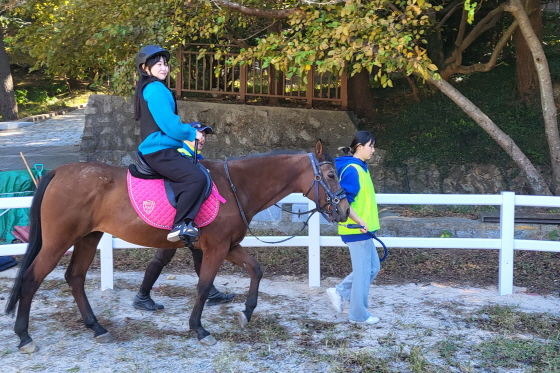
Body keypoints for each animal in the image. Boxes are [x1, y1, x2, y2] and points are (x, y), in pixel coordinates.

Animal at [5, 140, 350, 352]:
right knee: (32, 279)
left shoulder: (229, 246)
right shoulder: (216, 248)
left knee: (74, 278)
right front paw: (199, 329)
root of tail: (59, 172)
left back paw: (97, 328)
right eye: (331, 174)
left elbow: (256, 269)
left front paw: (247, 312)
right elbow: (204, 285)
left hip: (88, 238)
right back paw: (24, 336)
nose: (345, 210)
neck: (235, 186)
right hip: (58, 242)